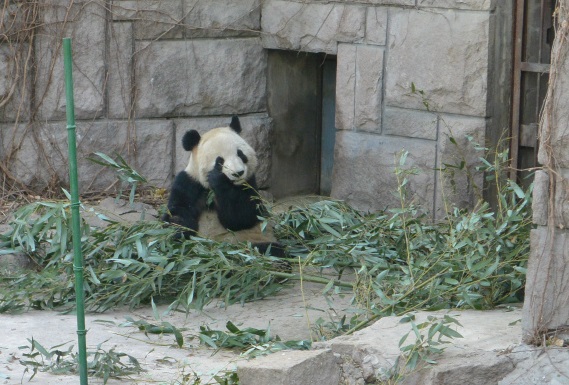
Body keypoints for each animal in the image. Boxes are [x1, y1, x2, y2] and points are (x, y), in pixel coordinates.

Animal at [160, 115, 284, 256]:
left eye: (240, 154)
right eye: (220, 161)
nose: (238, 173)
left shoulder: (249, 183)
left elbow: (242, 217)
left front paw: (218, 181)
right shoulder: (190, 182)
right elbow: (178, 209)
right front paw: (179, 230)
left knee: (270, 249)